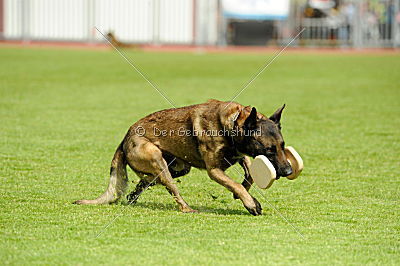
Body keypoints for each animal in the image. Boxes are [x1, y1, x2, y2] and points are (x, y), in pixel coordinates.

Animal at [73, 98, 292, 215]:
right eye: (269, 150)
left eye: (282, 146)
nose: (289, 170)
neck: (232, 122)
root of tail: (124, 138)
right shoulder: (214, 170)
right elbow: (235, 184)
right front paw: (250, 202)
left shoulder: (239, 155)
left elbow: (248, 175)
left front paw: (245, 192)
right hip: (158, 160)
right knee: (172, 190)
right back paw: (187, 208)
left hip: (178, 168)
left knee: (147, 181)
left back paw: (134, 194)